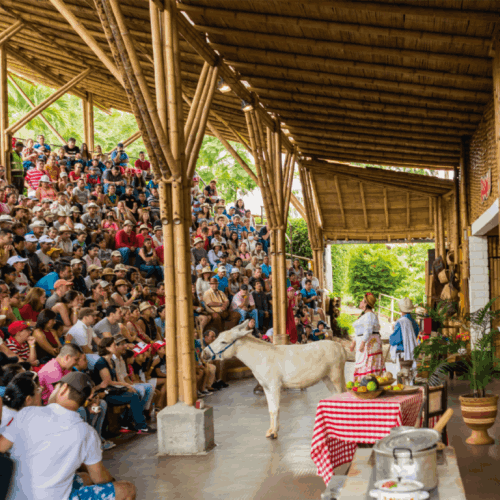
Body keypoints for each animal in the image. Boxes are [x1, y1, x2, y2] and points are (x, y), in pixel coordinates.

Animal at [201, 320, 346, 438]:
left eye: (223, 342)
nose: (204, 353)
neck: (261, 357)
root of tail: (339, 346)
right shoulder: (266, 387)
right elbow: (271, 409)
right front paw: (271, 431)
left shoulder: (274, 385)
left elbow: (276, 408)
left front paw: (274, 433)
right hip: (327, 378)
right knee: (336, 396)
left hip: (336, 375)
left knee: (342, 394)